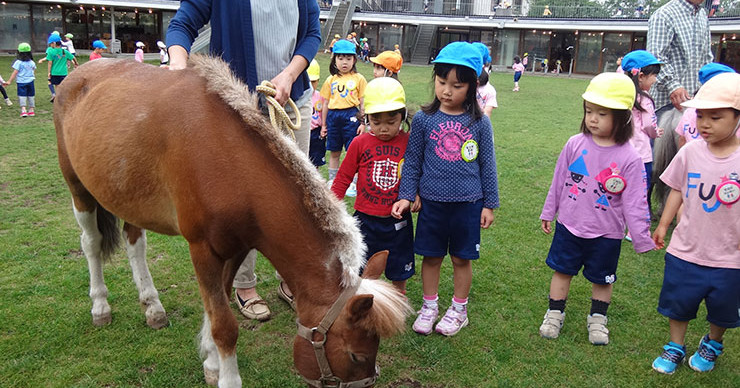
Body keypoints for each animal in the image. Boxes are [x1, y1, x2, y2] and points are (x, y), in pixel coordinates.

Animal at [53, 57, 410, 388]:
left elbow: (219, 305)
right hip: (79, 189)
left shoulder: (236, 246)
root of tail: (78, 74)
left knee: (134, 243)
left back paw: (152, 307)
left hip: (127, 195)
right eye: (356, 355)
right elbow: (224, 324)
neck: (228, 160)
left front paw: (212, 363)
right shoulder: (202, 249)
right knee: (91, 244)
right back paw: (100, 306)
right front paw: (227, 375)